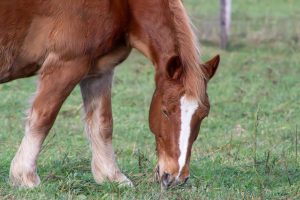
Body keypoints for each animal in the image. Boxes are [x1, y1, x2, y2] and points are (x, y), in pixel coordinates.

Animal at [0, 0, 220, 188]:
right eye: (165, 111)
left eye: (204, 115)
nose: (175, 177)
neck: (122, 5)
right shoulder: (65, 65)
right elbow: (43, 118)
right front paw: (25, 177)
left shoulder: (99, 71)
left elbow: (103, 124)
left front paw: (112, 176)